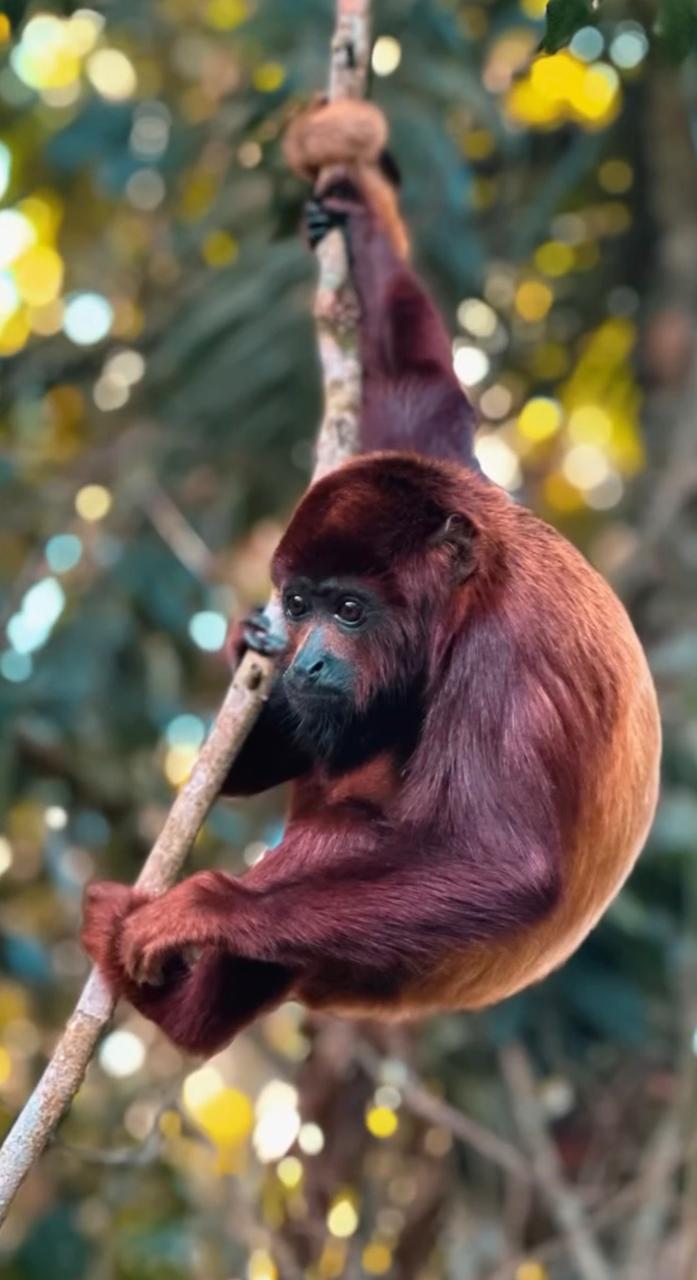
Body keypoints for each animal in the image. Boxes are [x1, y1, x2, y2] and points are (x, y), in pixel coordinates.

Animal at [81, 100, 661, 1057]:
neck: (473, 584)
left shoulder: (510, 653)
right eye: (304, 602)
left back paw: (180, 1009)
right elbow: (418, 388)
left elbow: (502, 865)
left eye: (351, 610)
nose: (310, 654)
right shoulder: (441, 478)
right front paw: (355, 200)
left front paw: (205, 906)